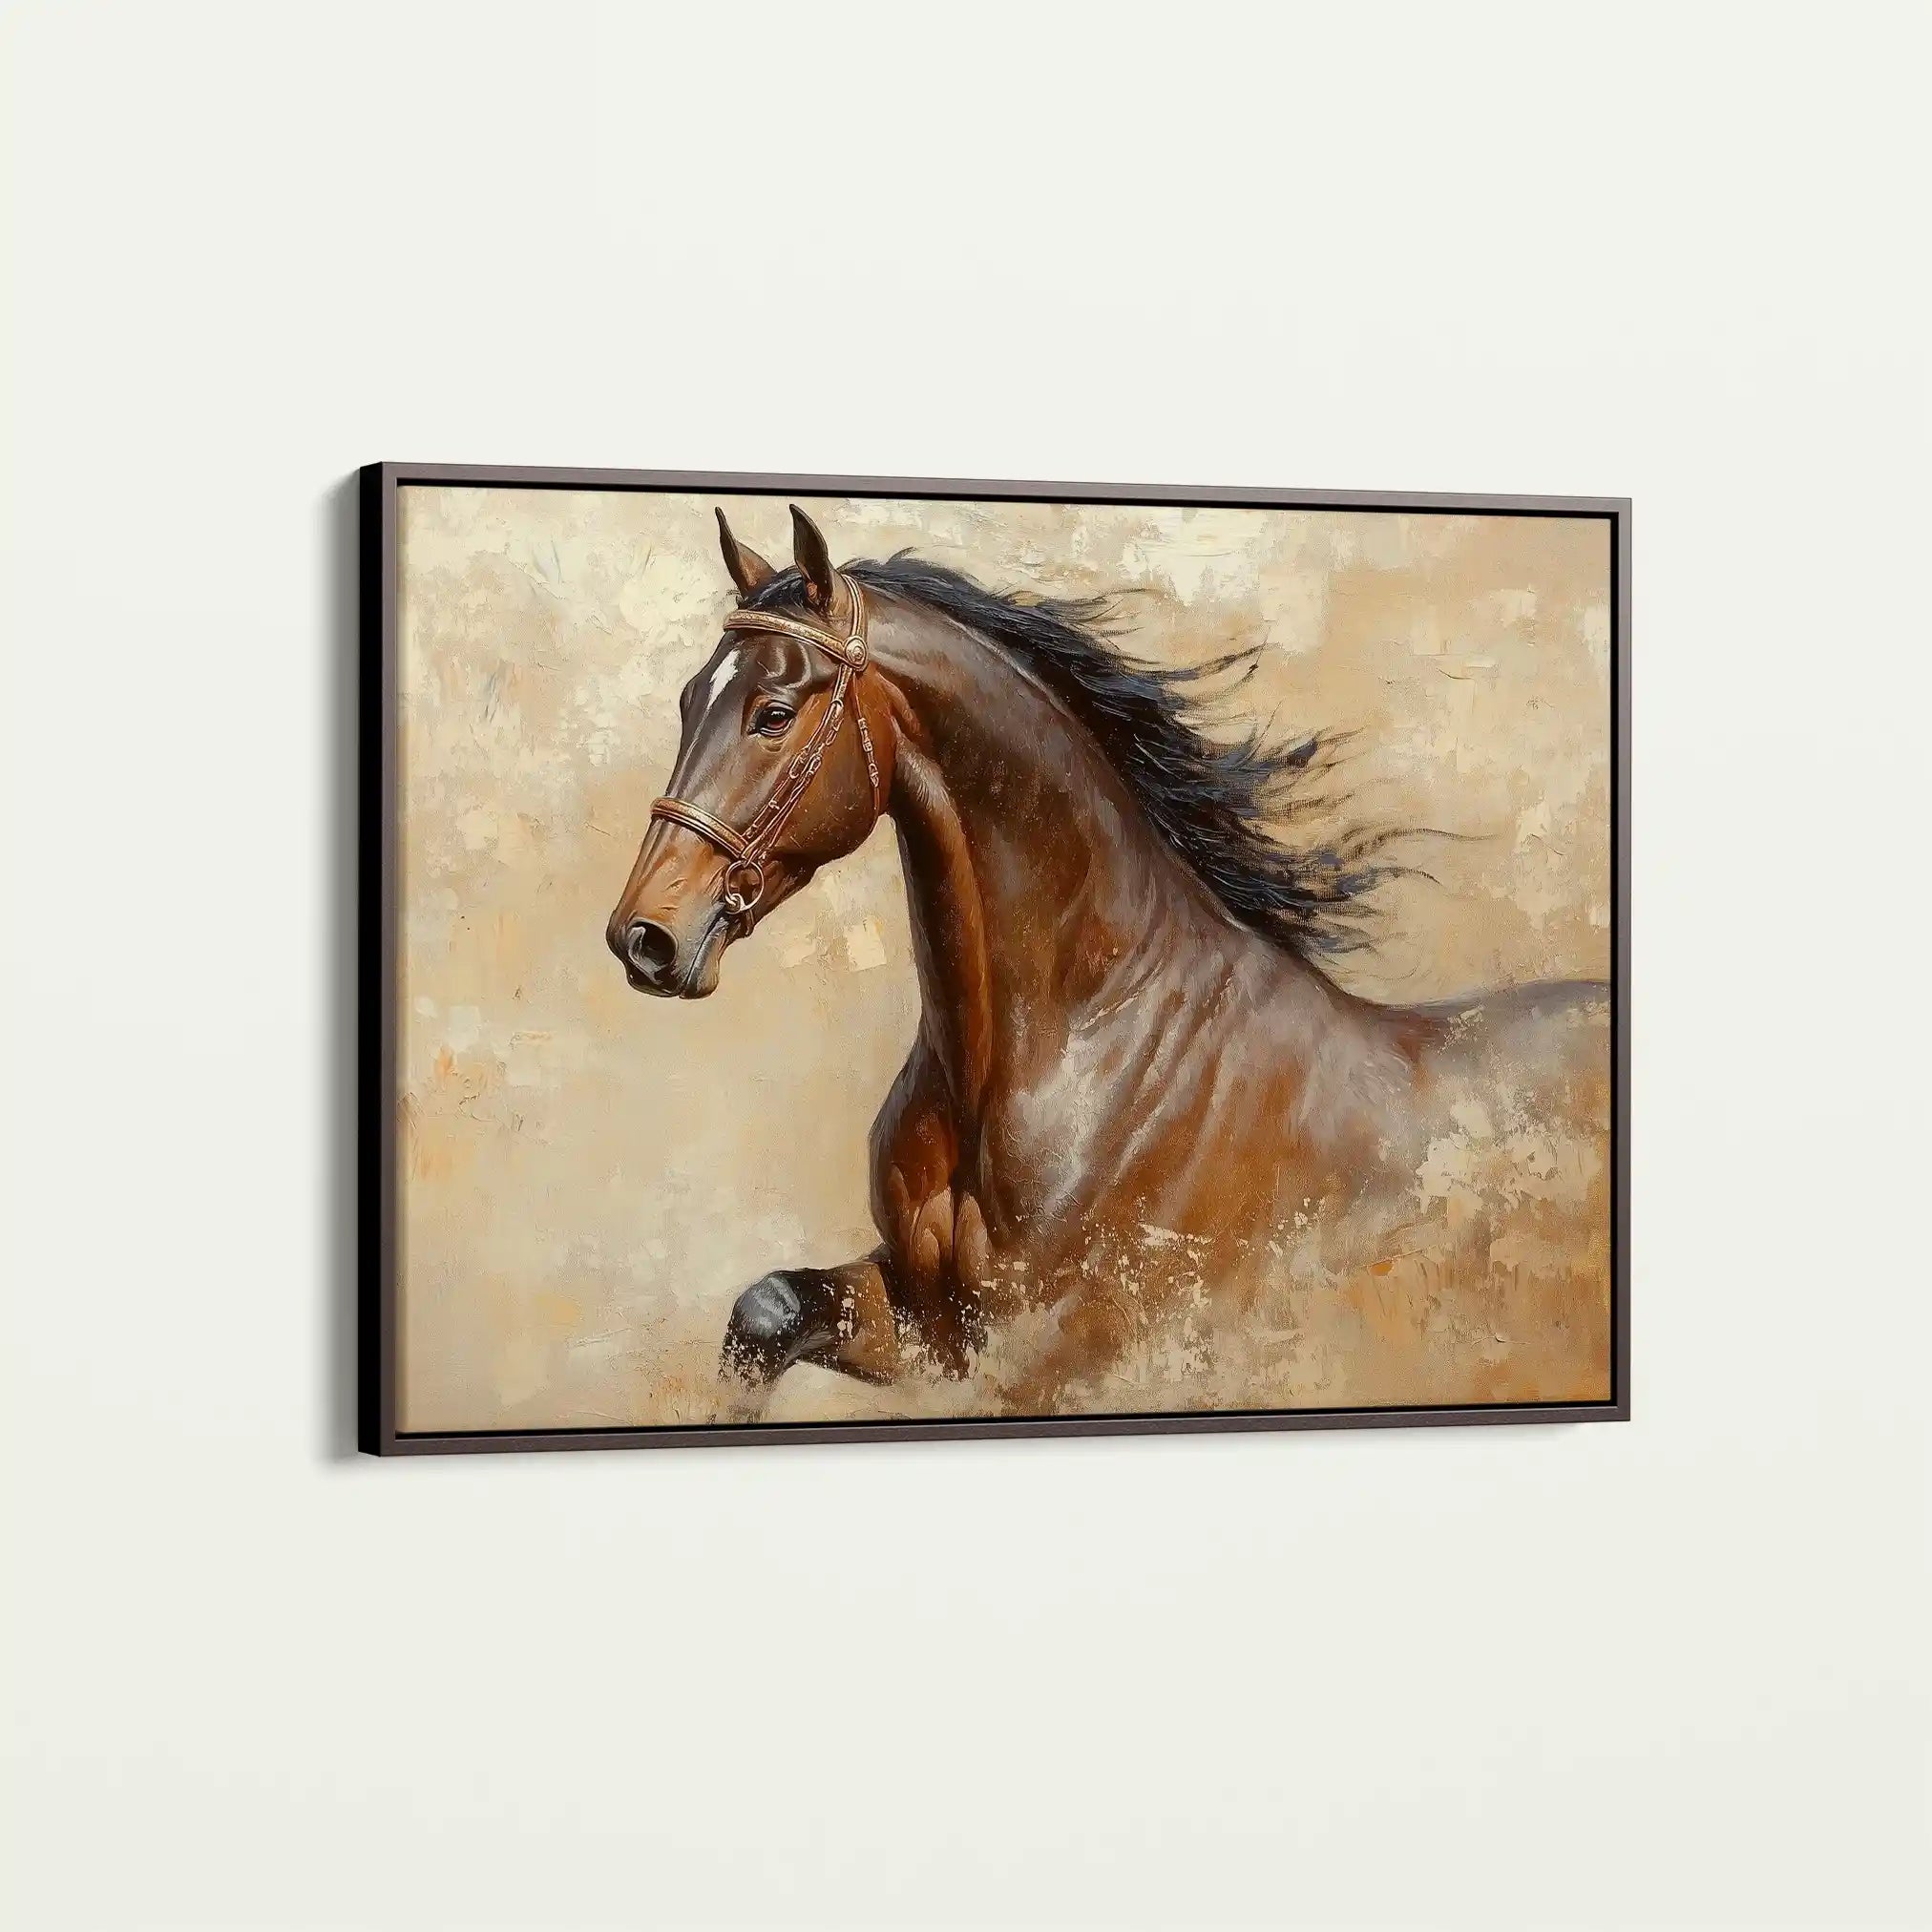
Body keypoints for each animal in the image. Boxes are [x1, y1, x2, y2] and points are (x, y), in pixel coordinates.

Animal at [606, 506, 1612, 1417]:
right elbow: (766, 1310)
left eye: (774, 713)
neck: (1073, 1052)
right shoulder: (932, 1325)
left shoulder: (1058, 1358)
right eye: (690, 699)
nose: (644, 937)